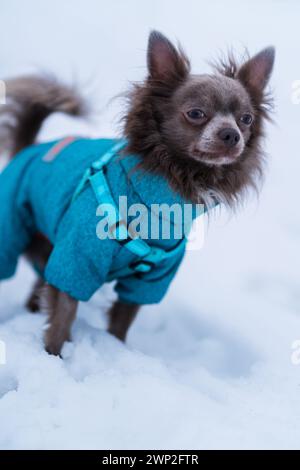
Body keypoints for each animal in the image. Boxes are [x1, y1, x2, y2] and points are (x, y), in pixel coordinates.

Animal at [0, 32, 276, 356]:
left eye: (246, 119)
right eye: (196, 114)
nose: (232, 134)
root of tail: (28, 149)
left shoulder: (149, 280)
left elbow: (121, 322)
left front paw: (115, 349)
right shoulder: (78, 258)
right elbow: (63, 316)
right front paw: (53, 356)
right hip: (12, 231)